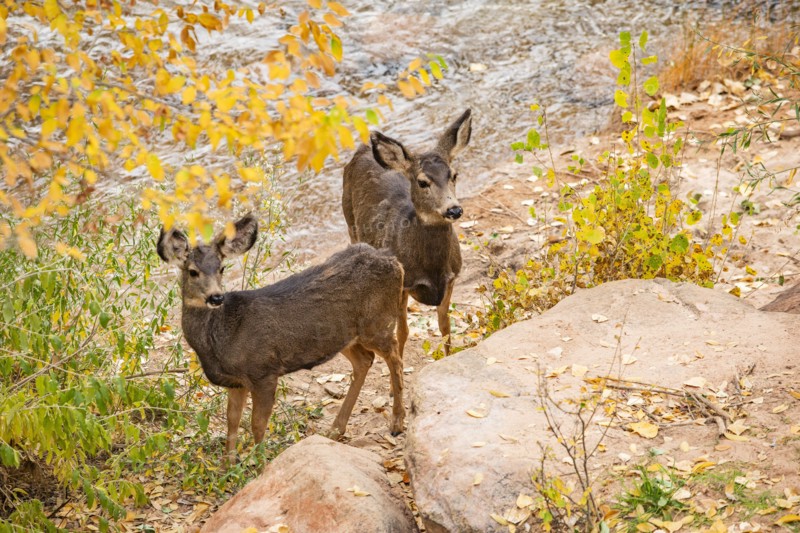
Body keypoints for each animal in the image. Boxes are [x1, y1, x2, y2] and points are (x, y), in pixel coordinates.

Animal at [157, 214, 406, 457]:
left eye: (221, 268)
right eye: (192, 271)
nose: (216, 297)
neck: (221, 340)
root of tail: (395, 262)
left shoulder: (264, 371)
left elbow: (257, 424)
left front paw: (260, 463)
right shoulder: (236, 383)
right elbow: (232, 422)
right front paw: (228, 464)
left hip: (377, 322)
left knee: (395, 356)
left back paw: (396, 423)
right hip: (343, 336)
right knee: (365, 360)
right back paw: (335, 430)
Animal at [342, 109, 472, 358]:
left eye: (454, 175)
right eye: (422, 182)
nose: (454, 209)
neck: (432, 269)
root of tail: (363, 148)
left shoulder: (452, 278)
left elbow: (445, 326)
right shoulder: (403, 284)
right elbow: (402, 332)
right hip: (349, 219)